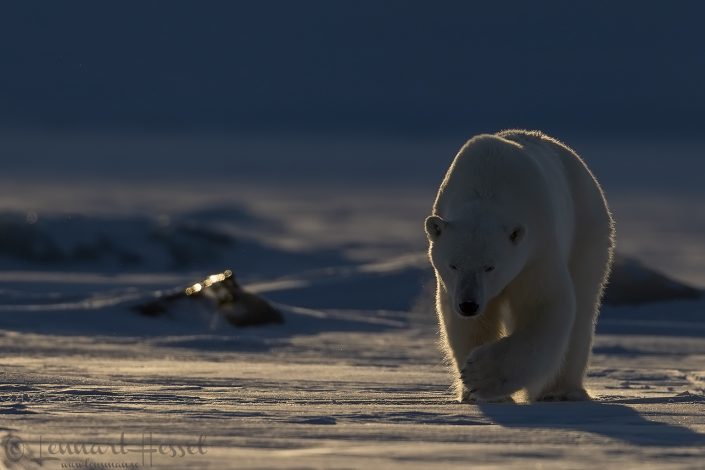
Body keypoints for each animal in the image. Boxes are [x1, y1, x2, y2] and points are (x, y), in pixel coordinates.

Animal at [425, 130, 614, 403]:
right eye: (454, 265)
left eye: (490, 267)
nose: (469, 305)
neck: (488, 184)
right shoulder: (453, 287)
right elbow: (468, 325)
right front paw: (475, 391)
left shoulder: (536, 248)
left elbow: (544, 305)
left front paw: (480, 376)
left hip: (588, 226)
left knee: (582, 306)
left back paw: (560, 391)